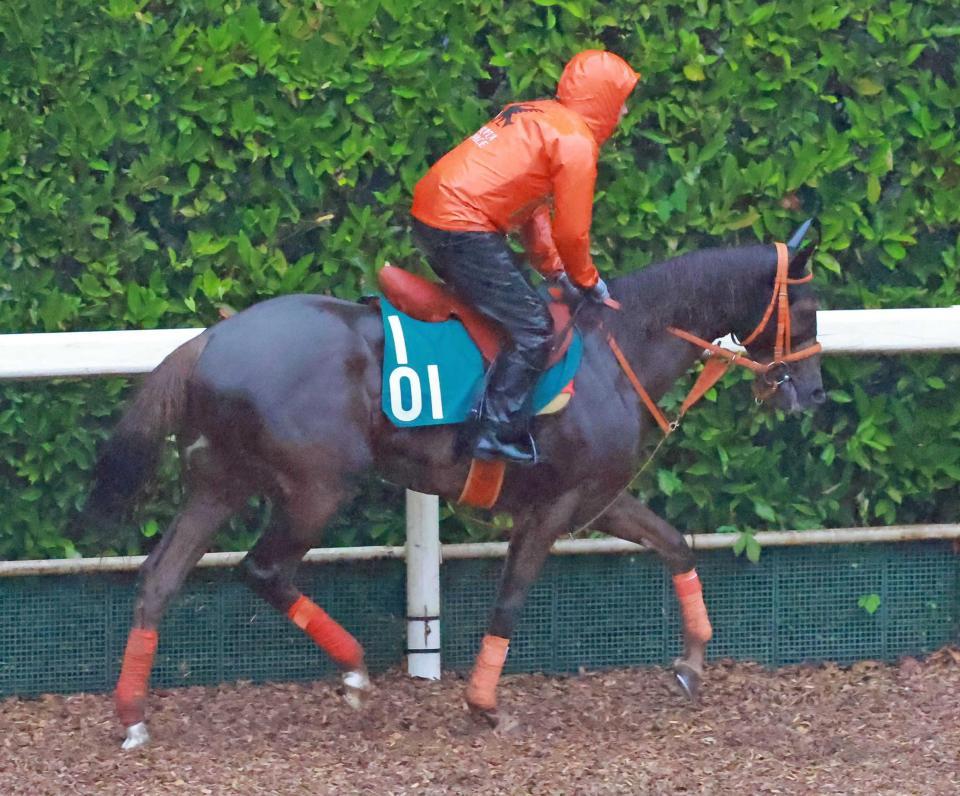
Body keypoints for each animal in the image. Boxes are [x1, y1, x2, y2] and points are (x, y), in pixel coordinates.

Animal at [79, 221, 824, 748]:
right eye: (810, 305)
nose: (813, 394)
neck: (617, 346)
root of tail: (209, 339)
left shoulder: (600, 497)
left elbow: (675, 544)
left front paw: (693, 662)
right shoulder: (552, 506)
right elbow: (512, 597)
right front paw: (486, 705)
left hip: (222, 482)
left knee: (159, 578)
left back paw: (133, 716)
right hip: (315, 487)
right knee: (262, 569)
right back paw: (355, 670)